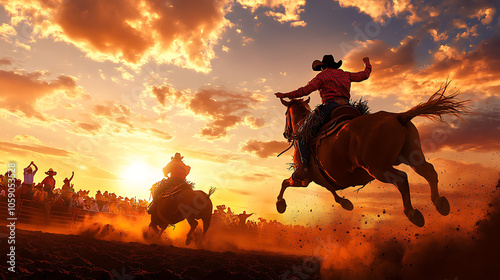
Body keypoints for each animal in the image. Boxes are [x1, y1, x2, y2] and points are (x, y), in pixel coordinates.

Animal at [278, 84, 468, 226]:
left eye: (286, 114)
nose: (286, 133)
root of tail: (398, 117)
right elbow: (331, 189)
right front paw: (346, 203)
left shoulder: (302, 178)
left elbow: (285, 182)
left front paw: (280, 204)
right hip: (412, 157)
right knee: (429, 171)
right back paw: (440, 203)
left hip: (378, 169)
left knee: (401, 179)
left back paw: (413, 214)